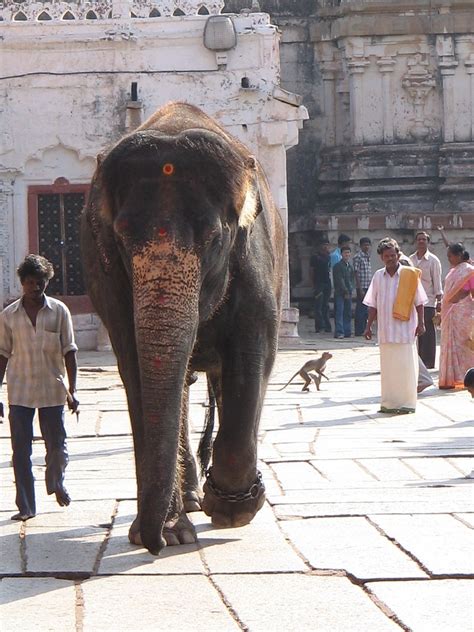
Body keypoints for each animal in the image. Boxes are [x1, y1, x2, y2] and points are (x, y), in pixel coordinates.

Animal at [80, 101, 286, 556]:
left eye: (213, 238)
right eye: (121, 238)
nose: (155, 543)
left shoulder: (255, 263)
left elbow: (253, 356)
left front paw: (231, 512)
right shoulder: (108, 277)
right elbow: (135, 368)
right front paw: (173, 531)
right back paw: (188, 501)